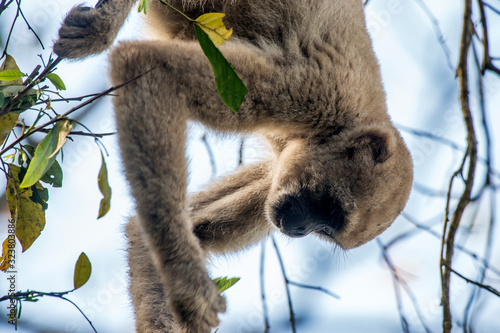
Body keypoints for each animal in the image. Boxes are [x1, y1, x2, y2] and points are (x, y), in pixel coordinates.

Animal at [53, 0, 414, 330]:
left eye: (325, 229)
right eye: (327, 207)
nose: (298, 230)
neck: (347, 124)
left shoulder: (276, 179)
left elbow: (154, 231)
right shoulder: (309, 91)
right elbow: (148, 66)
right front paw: (188, 286)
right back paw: (101, 28)